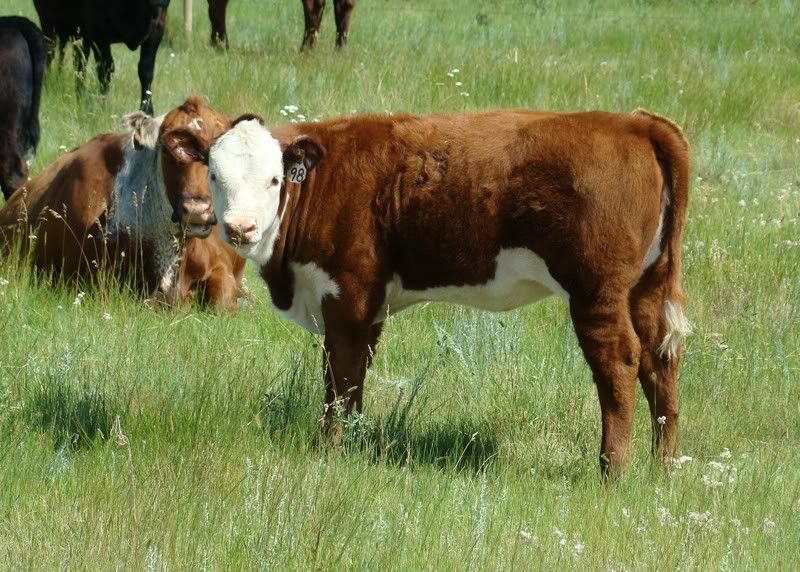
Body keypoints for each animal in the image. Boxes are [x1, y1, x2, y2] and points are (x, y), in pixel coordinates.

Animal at [32, 0, 169, 114]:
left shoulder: (157, 30)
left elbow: (146, 72)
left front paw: (147, 111)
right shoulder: (99, 33)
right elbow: (105, 71)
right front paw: (104, 106)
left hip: (76, 33)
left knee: (76, 62)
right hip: (49, 23)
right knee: (52, 54)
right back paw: (49, 82)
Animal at [166, 108, 692, 478]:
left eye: (274, 178)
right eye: (214, 175)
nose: (240, 228)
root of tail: (634, 122)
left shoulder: (347, 294)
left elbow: (339, 377)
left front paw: (330, 449)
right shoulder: (370, 304)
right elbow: (355, 377)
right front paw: (353, 442)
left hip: (596, 291)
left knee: (620, 362)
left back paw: (613, 471)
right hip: (645, 287)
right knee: (660, 359)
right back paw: (663, 466)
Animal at [207, 0, 355, 50]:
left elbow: (215, 10)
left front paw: (218, 45)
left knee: (313, 6)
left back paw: (305, 50)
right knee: (344, 6)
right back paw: (340, 51)